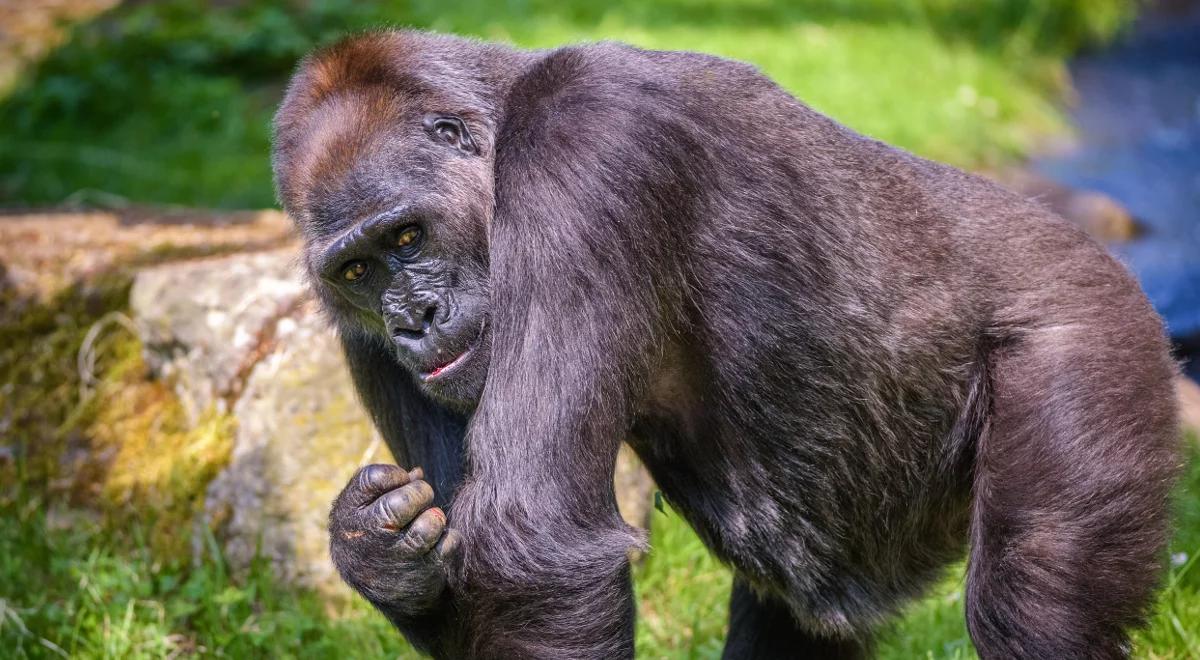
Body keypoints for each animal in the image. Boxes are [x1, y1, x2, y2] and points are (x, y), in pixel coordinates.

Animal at [272, 29, 1180, 657]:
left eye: (407, 238)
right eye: (358, 270)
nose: (412, 321)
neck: (506, 110)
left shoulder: (587, 141)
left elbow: (535, 538)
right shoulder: (353, 326)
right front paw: (379, 554)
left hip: (1097, 338)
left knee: (1034, 597)